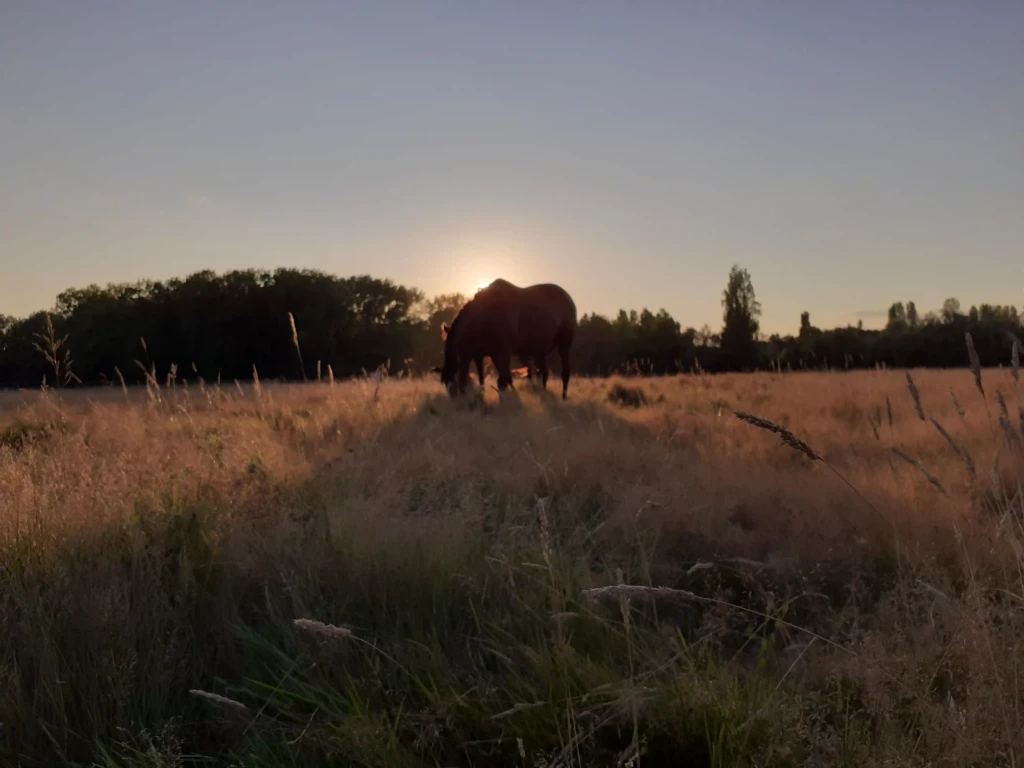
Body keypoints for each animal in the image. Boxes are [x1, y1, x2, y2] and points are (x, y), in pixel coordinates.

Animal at [437, 279, 577, 399]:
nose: (456, 401)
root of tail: (568, 298)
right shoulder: (490, 354)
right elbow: (501, 378)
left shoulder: (503, 352)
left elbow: (502, 382)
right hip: (539, 351)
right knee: (543, 373)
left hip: (564, 344)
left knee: (565, 372)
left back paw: (564, 398)